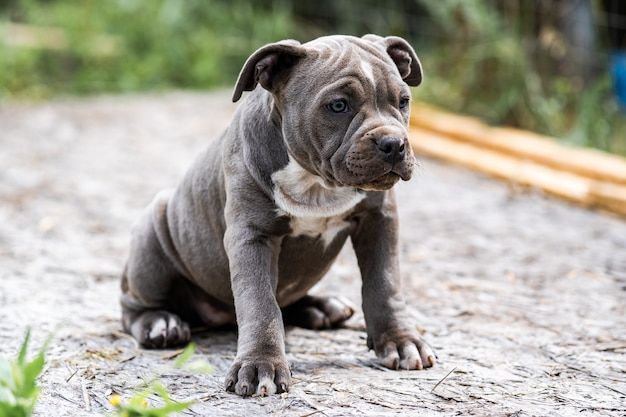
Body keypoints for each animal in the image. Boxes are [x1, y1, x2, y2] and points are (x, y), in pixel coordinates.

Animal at [120, 34, 434, 394]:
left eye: (403, 101)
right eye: (338, 106)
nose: (394, 143)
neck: (316, 184)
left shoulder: (380, 220)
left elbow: (384, 283)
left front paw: (400, 340)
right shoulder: (252, 236)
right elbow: (260, 302)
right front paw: (261, 365)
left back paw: (321, 307)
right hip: (152, 233)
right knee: (132, 304)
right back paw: (161, 323)